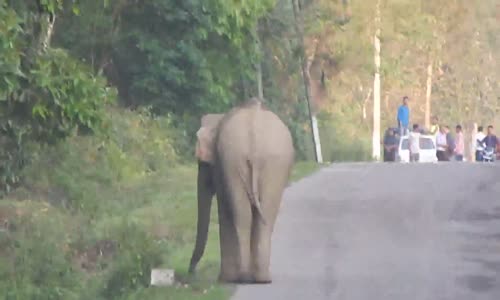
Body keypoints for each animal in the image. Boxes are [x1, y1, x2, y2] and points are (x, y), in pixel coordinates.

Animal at [189, 96, 294, 284]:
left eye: (204, 164)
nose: (191, 273)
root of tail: (254, 143)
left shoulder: (222, 168)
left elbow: (224, 209)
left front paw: (224, 279)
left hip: (241, 162)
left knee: (241, 215)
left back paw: (241, 277)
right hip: (265, 165)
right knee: (259, 215)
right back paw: (260, 278)